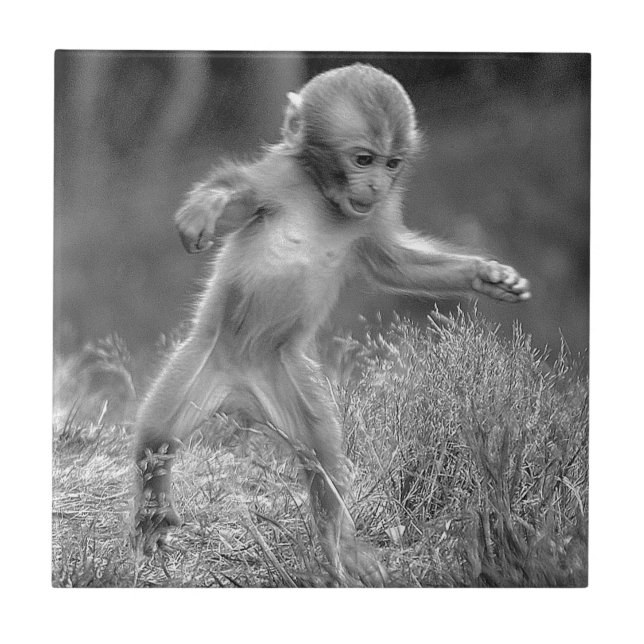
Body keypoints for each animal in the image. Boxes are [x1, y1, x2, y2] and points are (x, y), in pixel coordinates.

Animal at [133, 63, 531, 586]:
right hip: (203, 362)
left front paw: (486, 276)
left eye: (392, 164)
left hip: (286, 377)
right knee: (158, 437)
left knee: (323, 460)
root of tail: (239, 388)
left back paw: (339, 548)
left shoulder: (375, 215)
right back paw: (154, 510)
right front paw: (207, 207)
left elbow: (393, 263)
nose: (377, 184)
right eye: (363, 159)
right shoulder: (279, 178)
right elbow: (240, 194)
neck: (323, 197)